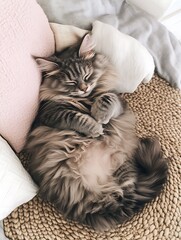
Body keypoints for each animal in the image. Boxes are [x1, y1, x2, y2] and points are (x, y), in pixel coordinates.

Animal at [24, 33, 168, 231]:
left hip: (122, 163)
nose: (84, 88)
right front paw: (96, 128)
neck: (87, 99)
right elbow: (77, 117)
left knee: (128, 192)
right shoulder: (51, 112)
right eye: (72, 82)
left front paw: (100, 116)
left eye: (87, 76)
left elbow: (107, 98)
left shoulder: (118, 101)